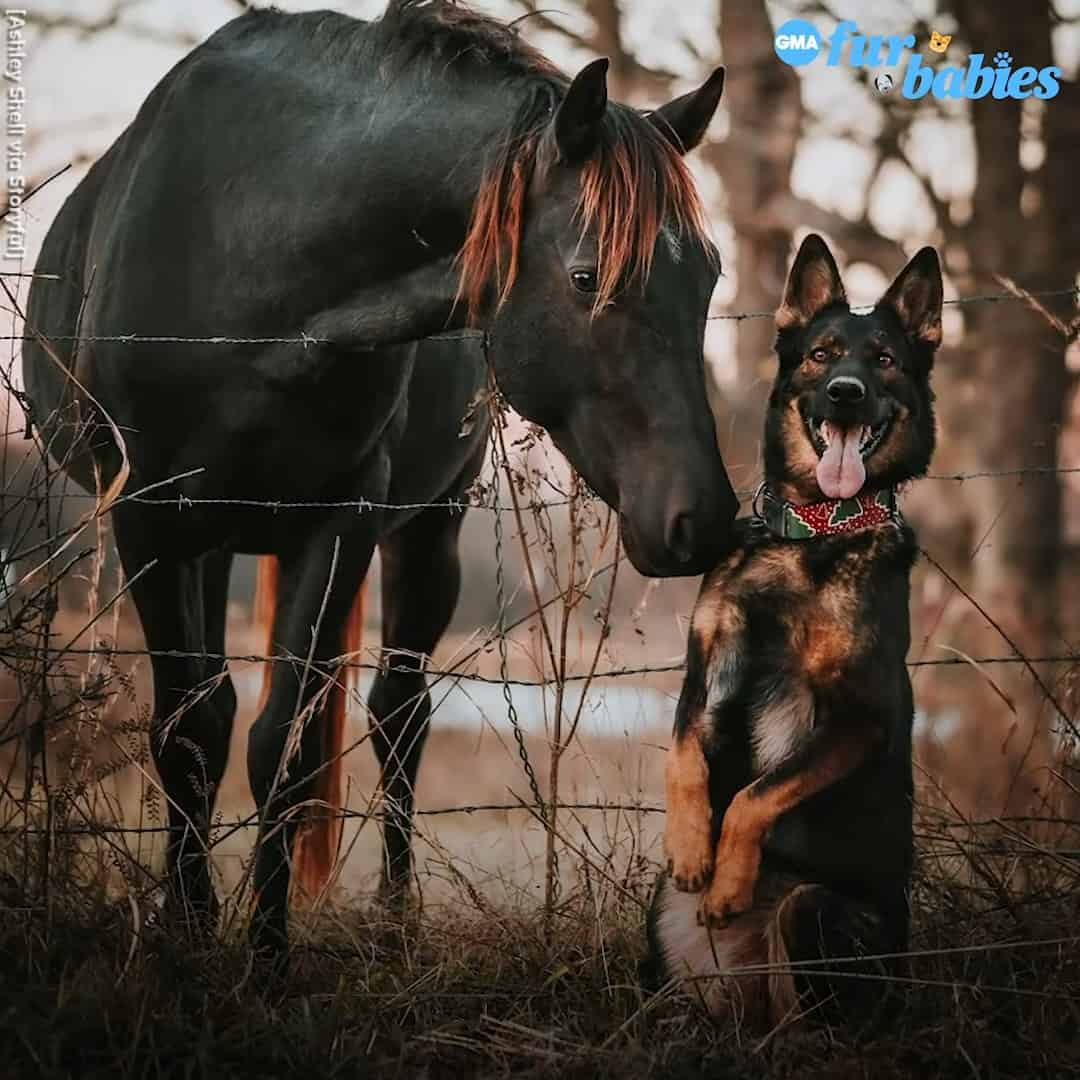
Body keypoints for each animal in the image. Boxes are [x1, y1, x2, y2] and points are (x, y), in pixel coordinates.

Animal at [21, 0, 738, 963]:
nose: (703, 520)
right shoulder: (148, 522)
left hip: (427, 528)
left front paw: (266, 956)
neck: (250, 255)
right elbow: (187, 736)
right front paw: (189, 937)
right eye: (588, 276)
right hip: (207, 540)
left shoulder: (339, 523)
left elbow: (282, 747)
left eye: (709, 276)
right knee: (225, 712)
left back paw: (395, 917)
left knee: (400, 713)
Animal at [643, 236, 941, 1028]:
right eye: (821, 354)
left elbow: (756, 794)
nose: (845, 391)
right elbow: (683, 759)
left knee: (816, 1025)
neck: (810, 534)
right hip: (662, 919)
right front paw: (693, 849)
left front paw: (726, 881)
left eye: (885, 361)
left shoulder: (856, 720)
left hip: (813, 911)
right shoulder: (700, 677)